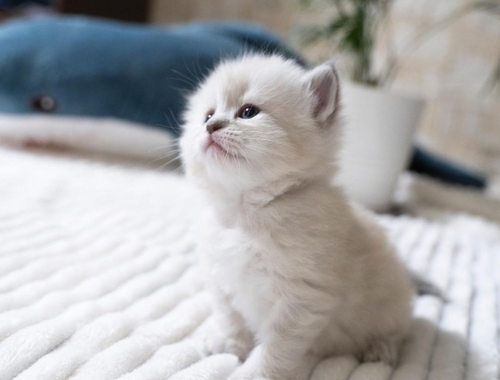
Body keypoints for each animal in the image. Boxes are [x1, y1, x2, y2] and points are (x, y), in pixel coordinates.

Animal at [179, 54, 410, 380]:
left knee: (396, 332)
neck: (244, 214)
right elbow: (232, 317)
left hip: (391, 305)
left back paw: (380, 351)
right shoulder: (221, 277)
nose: (211, 126)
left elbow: (274, 349)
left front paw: (253, 374)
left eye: (248, 112)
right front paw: (231, 344)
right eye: (207, 115)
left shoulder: (301, 299)